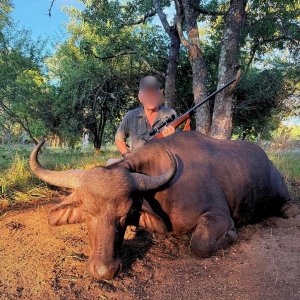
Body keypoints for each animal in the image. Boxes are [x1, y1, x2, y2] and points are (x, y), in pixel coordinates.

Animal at [29, 132, 296, 280]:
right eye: (87, 214)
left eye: (124, 215)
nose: (105, 270)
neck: (165, 190)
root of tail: (269, 163)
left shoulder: (218, 215)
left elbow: (200, 244)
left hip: (281, 191)